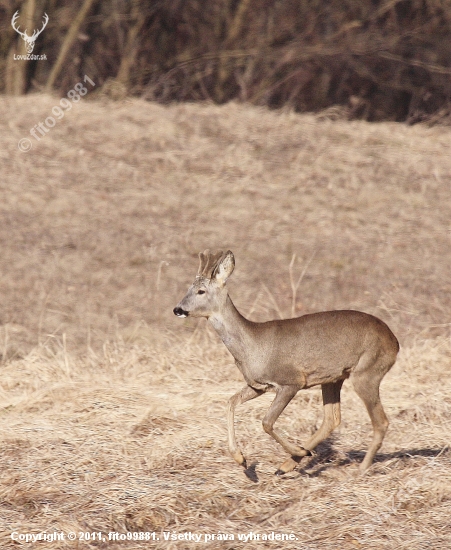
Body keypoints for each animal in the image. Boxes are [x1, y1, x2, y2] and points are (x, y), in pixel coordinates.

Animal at [173, 252, 400, 476]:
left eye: (201, 291)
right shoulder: (259, 386)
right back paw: (287, 465)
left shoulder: (291, 381)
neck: (253, 347)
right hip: (333, 378)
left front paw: (295, 450)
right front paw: (241, 459)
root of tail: (394, 341)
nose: (178, 309)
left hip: (367, 371)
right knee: (332, 419)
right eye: (188, 288)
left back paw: (358, 469)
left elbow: (266, 421)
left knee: (380, 421)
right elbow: (230, 402)